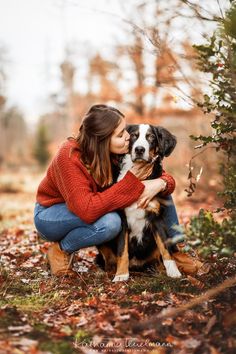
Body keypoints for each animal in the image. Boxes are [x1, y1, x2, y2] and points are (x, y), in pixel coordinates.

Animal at [97, 124, 182, 282]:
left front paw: (173, 271)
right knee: (107, 259)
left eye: (151, 137)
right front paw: (121, 275)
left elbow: (164, 248)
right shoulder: (122, 220)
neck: (139, 181)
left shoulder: (157, 217)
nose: (139, 149)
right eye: (133, 136)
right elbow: (122, 250)